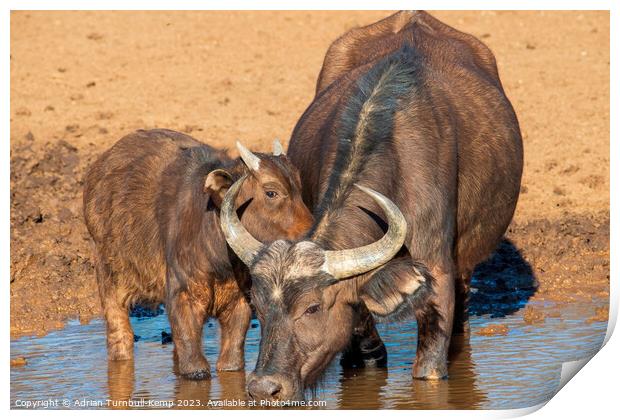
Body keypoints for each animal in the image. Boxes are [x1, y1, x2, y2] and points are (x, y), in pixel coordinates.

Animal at [82, 130, 312, 378]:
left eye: (300, 189)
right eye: (271, 192)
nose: (310, 231)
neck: (221, 261)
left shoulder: (239, 304)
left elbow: (230, 362)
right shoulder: (183, 298)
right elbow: (195, 367)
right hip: (108, 276)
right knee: (120, 334)